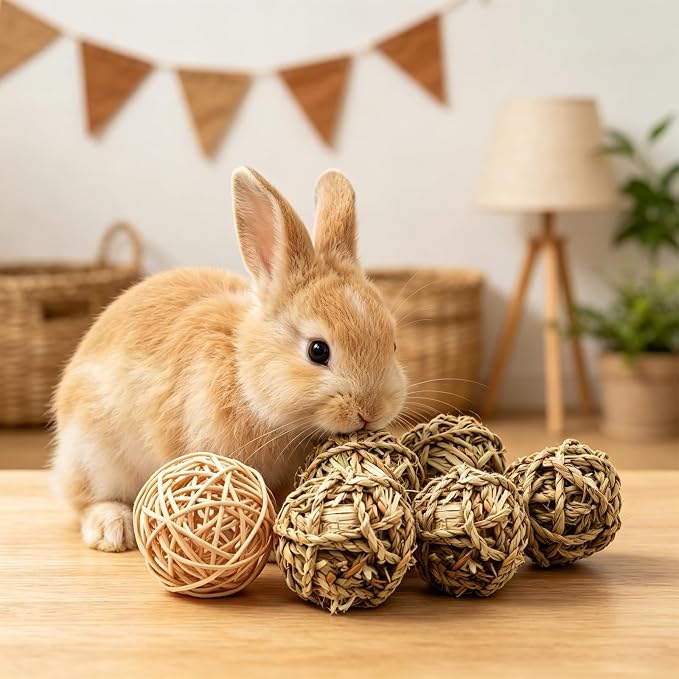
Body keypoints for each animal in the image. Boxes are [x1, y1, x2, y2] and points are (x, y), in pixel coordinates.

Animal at [51, 167, 407, 552]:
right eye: (318, 350)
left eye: (393, 343)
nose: (371, 411)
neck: (244, 374)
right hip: (93, 454)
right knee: (84, 498)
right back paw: (113, 529)